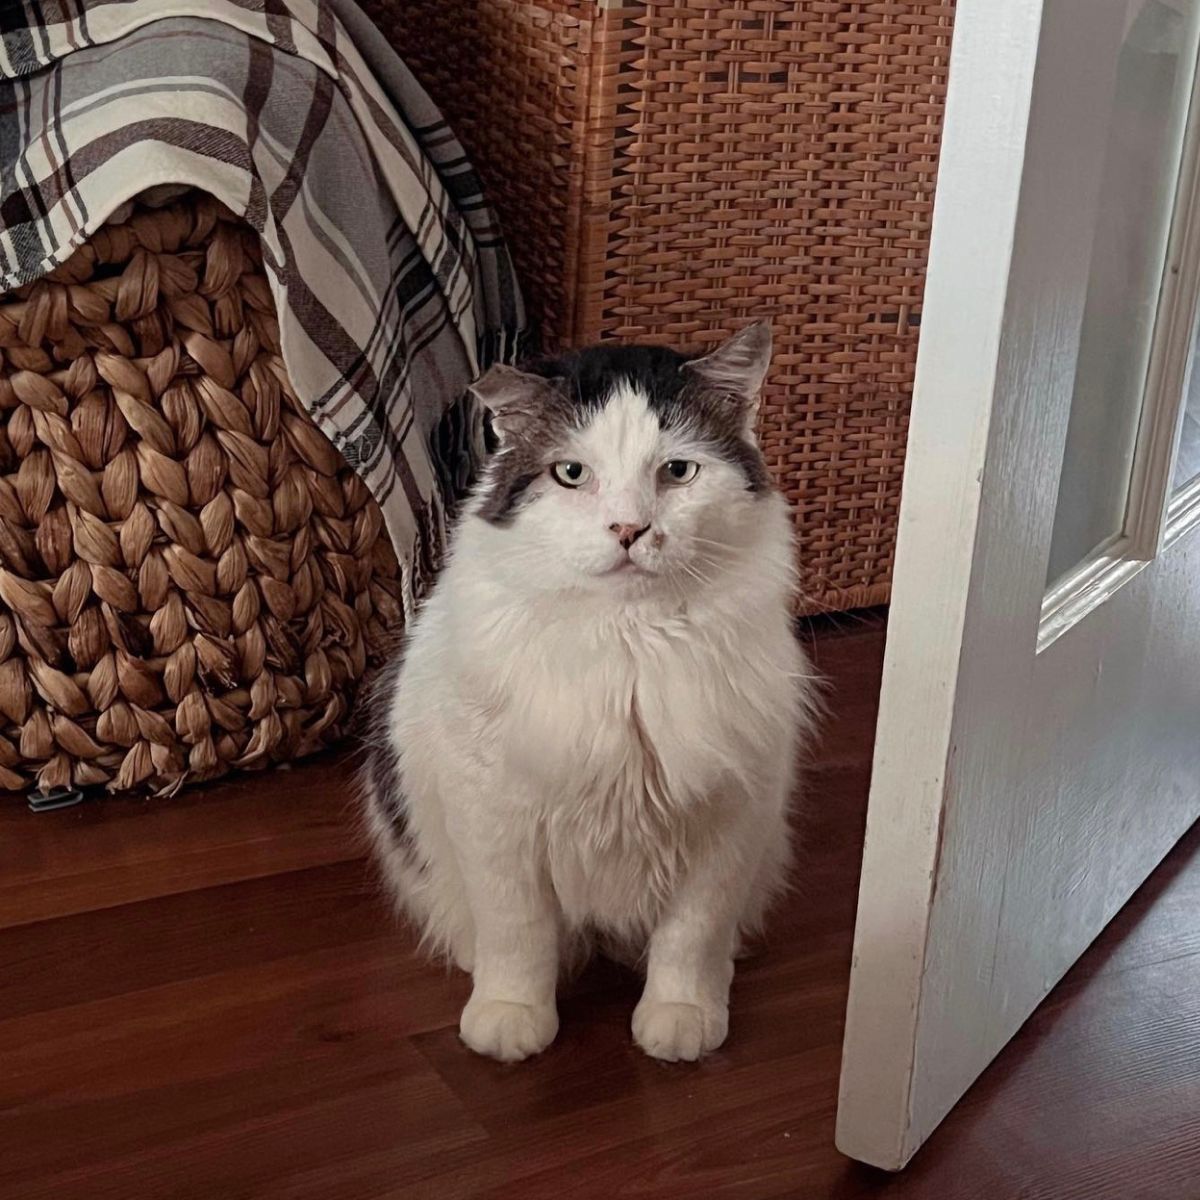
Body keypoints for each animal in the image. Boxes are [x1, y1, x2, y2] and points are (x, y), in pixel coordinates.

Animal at [360, 324, 820, 1065]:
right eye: (571, 474)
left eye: (677, 472)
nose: (629, 531)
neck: (629, 647)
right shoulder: (494, 817)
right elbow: (517, 934)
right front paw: (511, 1018)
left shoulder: (729, 816)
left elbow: (690, 937)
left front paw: (681, 1017)